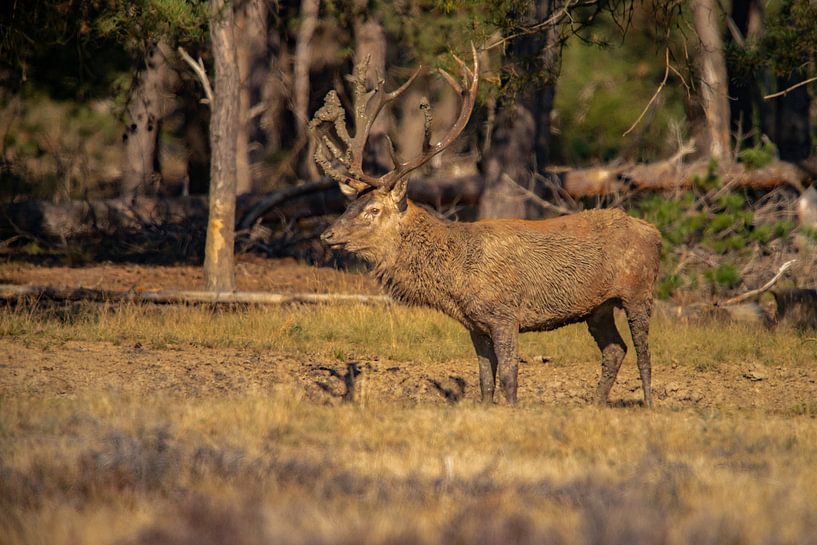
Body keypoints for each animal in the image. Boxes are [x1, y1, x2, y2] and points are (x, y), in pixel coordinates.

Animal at [311, 46, 662, 406]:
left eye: (374, 209)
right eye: (348, 206)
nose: (328, 234)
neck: (456, 277)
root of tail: (654, 232)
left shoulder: (505, 314)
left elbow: (508, 377)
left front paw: (511, 409)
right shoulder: (475, 324)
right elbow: (484, 380)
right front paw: (485, 406)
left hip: (639, 290)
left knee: (643, 353)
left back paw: (649, 403)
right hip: (598, 308)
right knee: (615, 350)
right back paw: (596, 403)